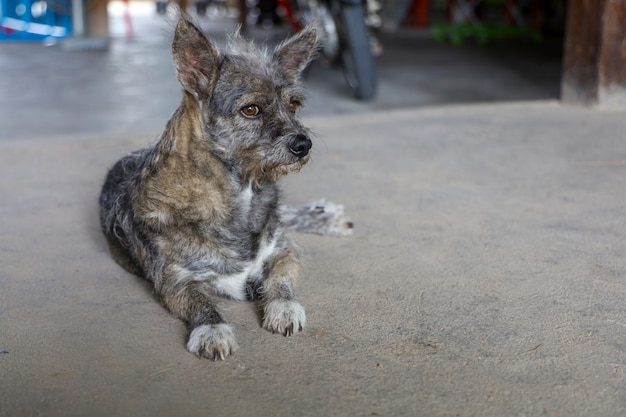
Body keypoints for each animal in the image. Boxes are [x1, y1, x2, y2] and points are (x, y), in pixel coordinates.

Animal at [98, 17, 352, 360]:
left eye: (294, 105)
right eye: (251, 110)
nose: (303, 145)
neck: (240, 191)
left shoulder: (285, 251)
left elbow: (280, 281)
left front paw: (284, 309)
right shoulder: (175, 281)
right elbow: (201, 302)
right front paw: (212, 330)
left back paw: (325, 216)